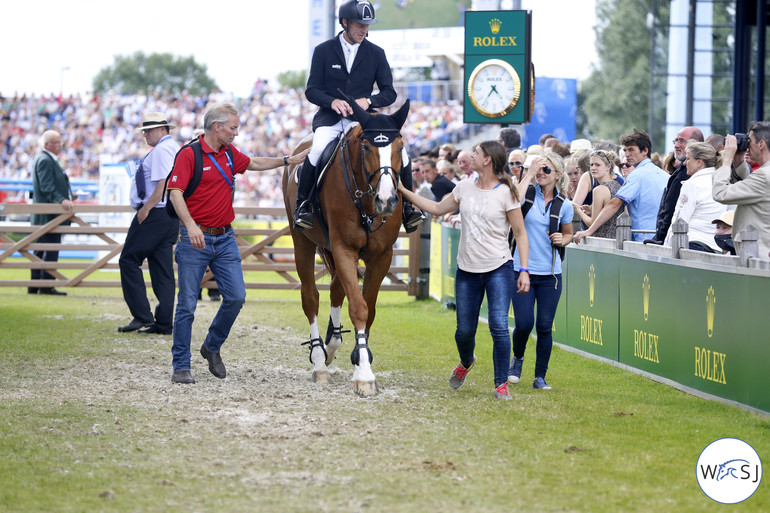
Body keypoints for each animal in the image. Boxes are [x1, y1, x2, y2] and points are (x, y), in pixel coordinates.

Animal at [282, 99, 412, 396]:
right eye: (366, 148)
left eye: (400, 147)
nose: (387, 200)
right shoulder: (344, 248)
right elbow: (358, 307)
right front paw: (363, 374)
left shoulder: (381, 256)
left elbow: (368, 308)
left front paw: (360, 358)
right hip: (302, 242)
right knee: (311, 297)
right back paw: (319, 361)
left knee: (335, 289)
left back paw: (332, 344)